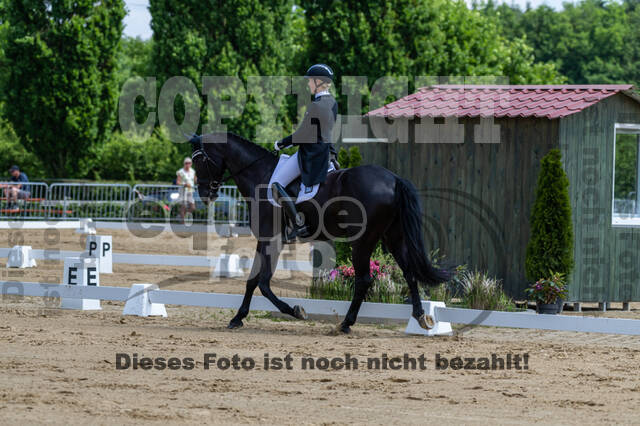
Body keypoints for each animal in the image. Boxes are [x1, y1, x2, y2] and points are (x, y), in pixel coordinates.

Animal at [190, 132, 450, 334]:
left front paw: (296, 311)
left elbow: (262, 283)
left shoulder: (270, 239)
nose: (205, 194)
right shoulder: (267, 240)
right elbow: (253, 281)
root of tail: (394, 179)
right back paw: (421, 317)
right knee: (409, 272)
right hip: (393, 236)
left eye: (199, 161)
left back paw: (346, 324)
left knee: (364, 279)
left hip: (362, 240)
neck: (260, 175)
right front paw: (237, 318)